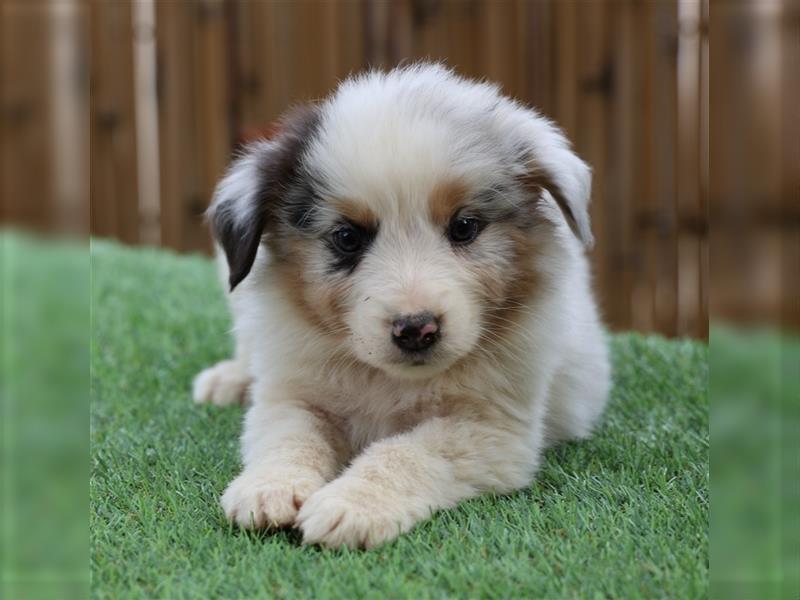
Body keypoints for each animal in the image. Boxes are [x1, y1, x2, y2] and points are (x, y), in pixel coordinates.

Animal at [194, 64, 612, 548]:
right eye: (347, 237)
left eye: (464, 227)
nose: (416, 330)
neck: (389, 381)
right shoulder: (293, 396)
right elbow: (289, 439)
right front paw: (269, 489)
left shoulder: (492, 427)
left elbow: (406, 450)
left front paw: (351, 505)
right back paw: (230, 379)